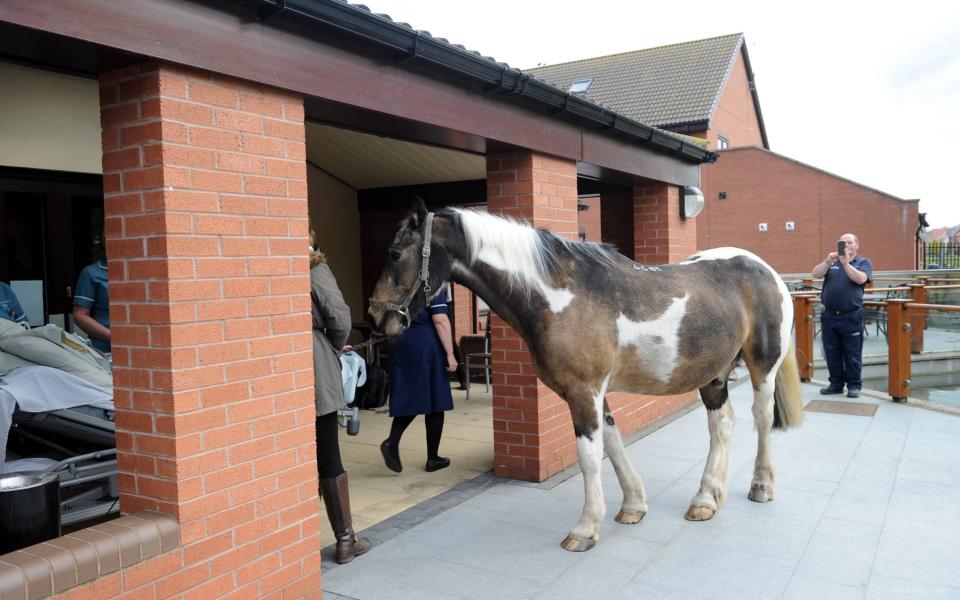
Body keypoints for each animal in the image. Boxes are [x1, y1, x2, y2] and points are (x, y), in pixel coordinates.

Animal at [368, 199, 804, 552]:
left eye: (394, 253)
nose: (375, 317)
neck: (558, 296)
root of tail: (768, 272)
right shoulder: (593, 393)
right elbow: (612, 442)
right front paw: (633, 506)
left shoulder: (583, 391)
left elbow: (589, 457)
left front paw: (585, 529)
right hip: (712, 374)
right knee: (722, 425)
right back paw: (706, 499)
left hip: (762, 367)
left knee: (761, 418)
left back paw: (761, 486)